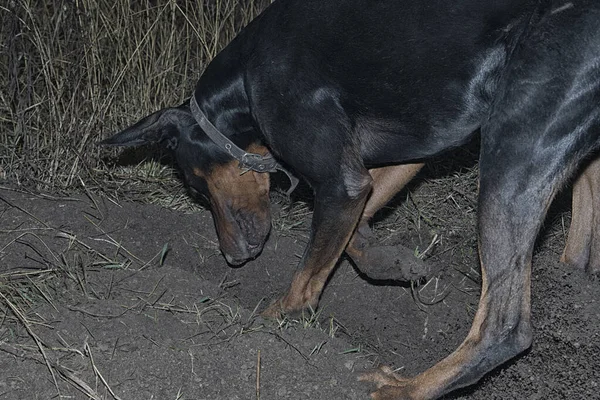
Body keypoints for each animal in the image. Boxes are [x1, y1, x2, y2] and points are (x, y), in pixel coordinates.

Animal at [99, 1, 600, 398]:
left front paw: (267, 325)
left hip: (515, 146)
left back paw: (403, 389)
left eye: (196, 186)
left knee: (505, 327)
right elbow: (354, 232)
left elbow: (305, 281)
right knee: (578, 239)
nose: (234, 256)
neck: (245, 79)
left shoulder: (341, 181)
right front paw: (393, 261)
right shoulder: (405, 151)